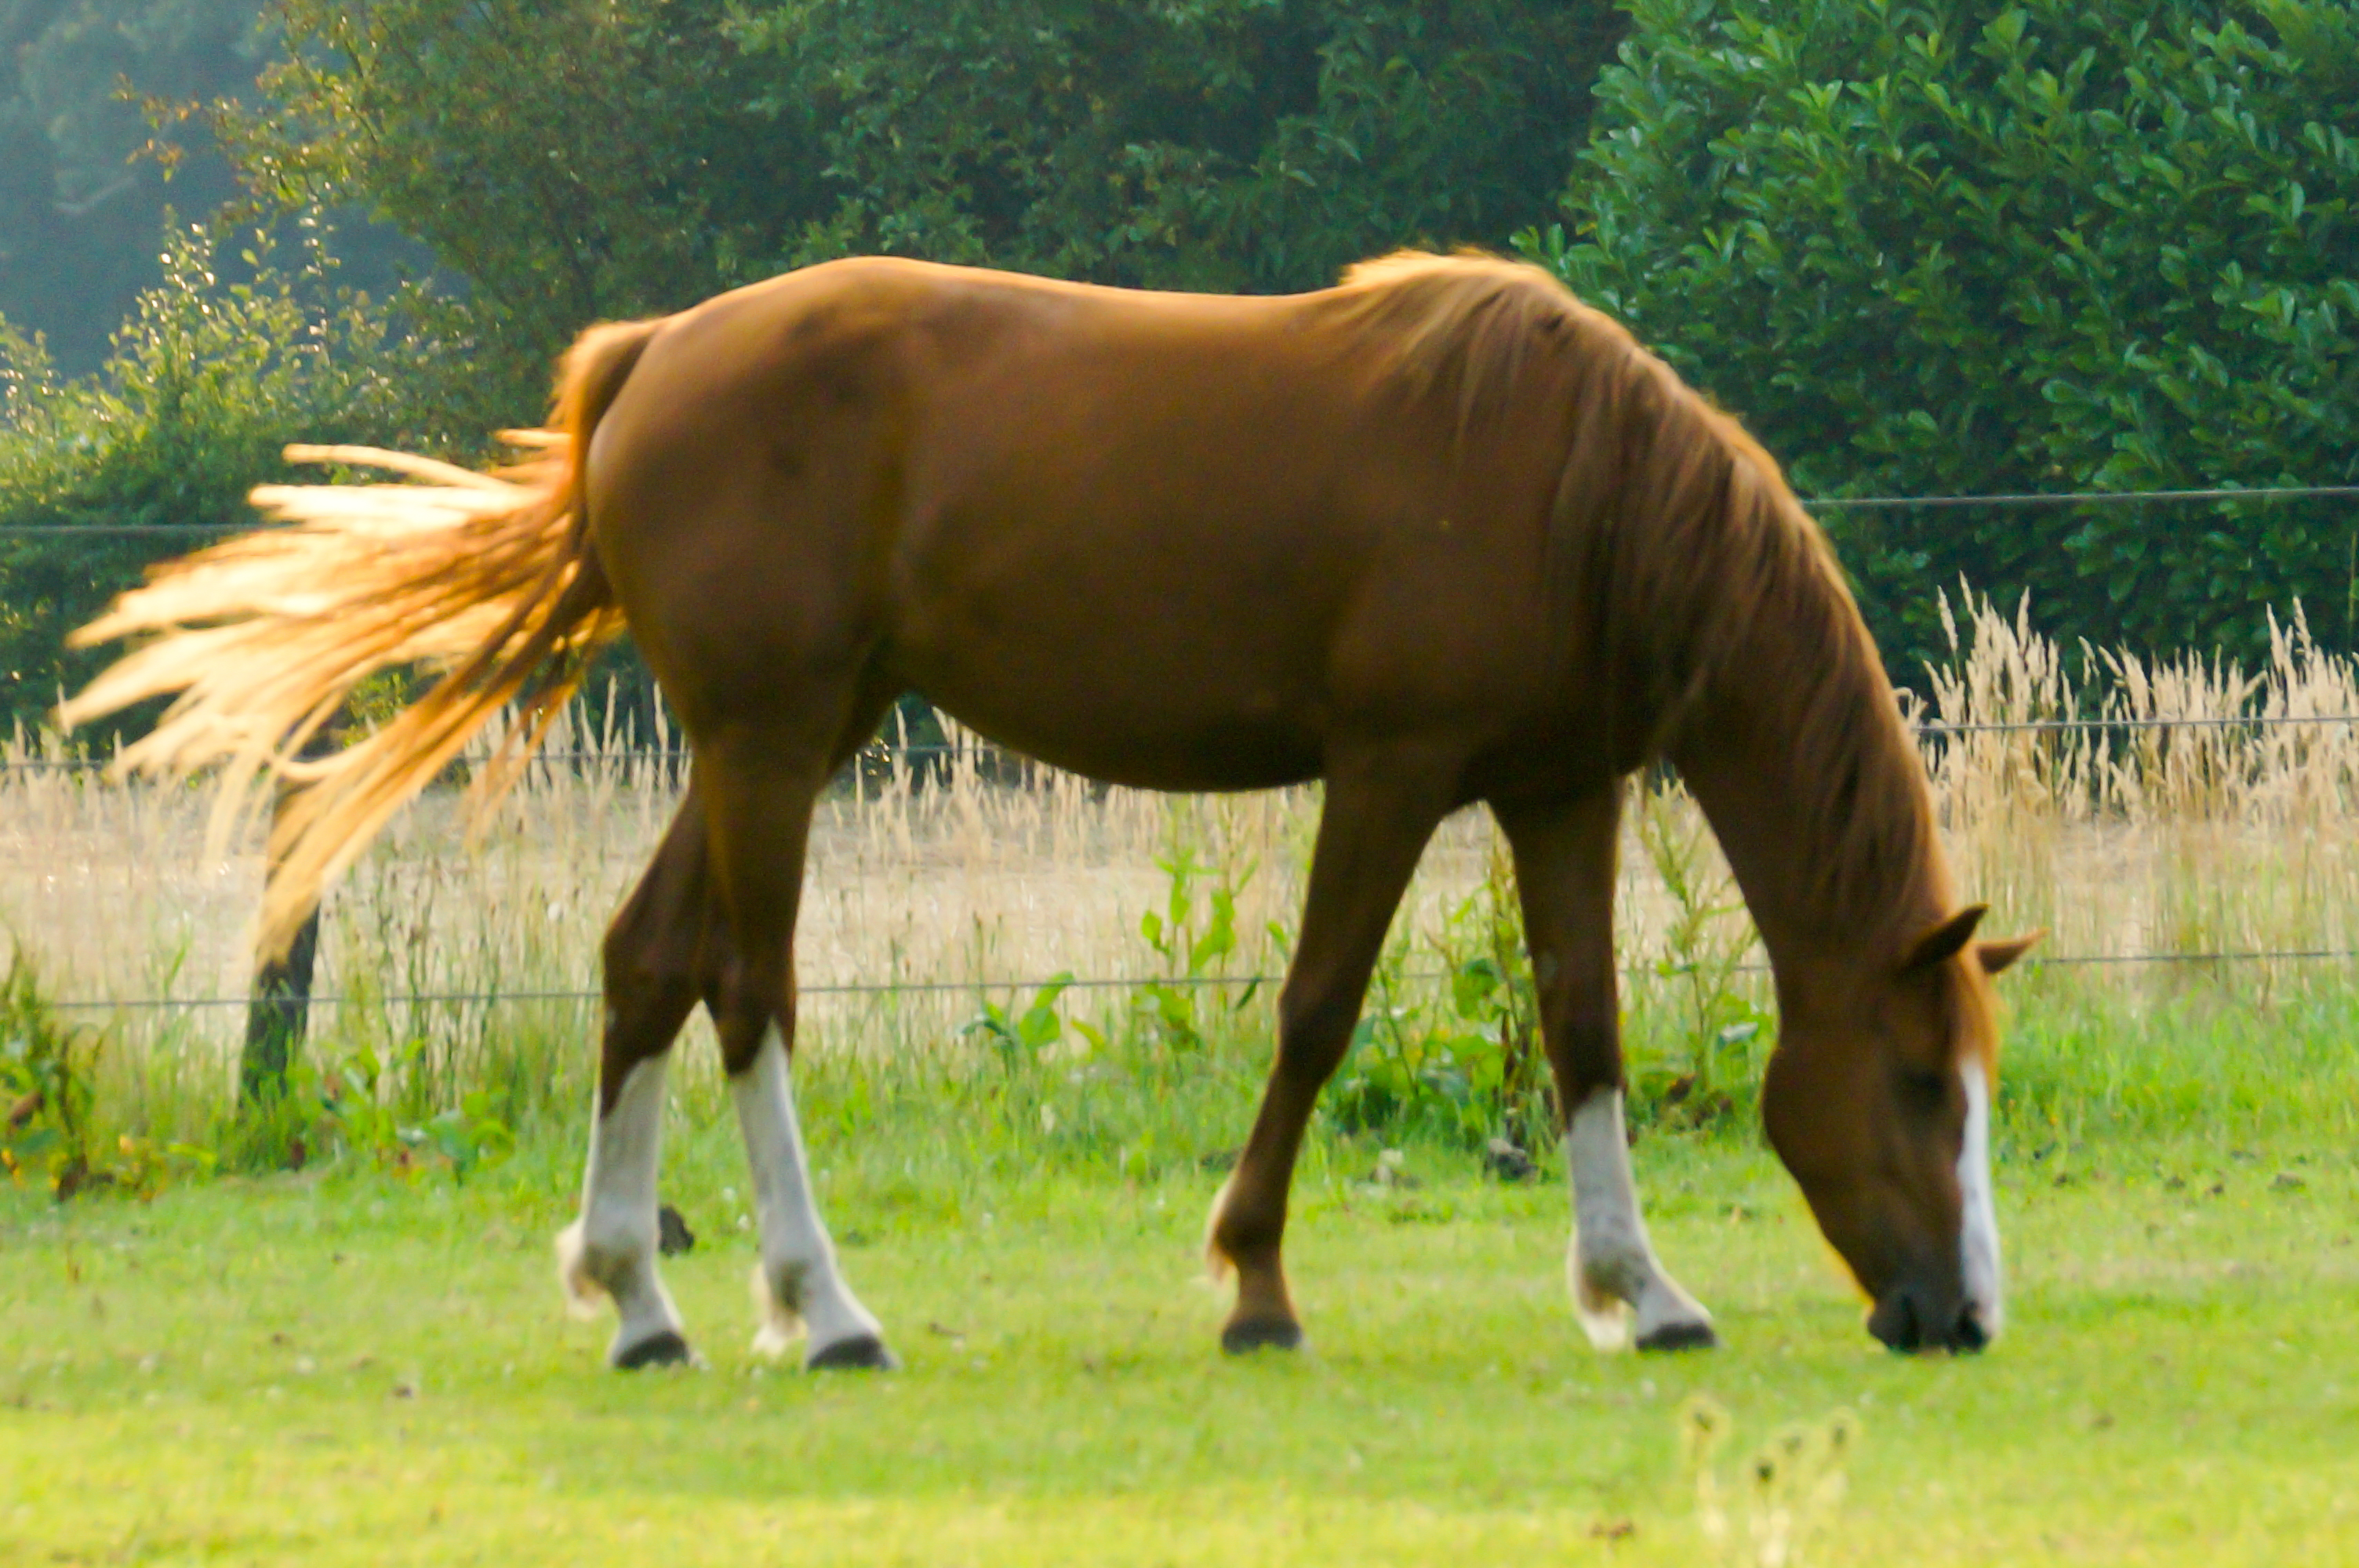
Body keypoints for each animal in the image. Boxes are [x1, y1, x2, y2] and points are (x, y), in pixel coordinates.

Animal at [64, 250, 2036, 1369]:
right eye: (1918, 1083)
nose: (1957, 1317)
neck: (1572, 481)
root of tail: (647, 357)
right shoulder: (1391, 770)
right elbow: (1317, 1011)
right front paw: (1254, 1282)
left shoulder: (1554, 788)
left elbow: (1583, 1028)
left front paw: (1640, 1288)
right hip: (771, 747)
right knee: (748, 993)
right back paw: (821, 1307)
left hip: (778, 740)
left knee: (643, 968)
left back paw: (639, 1299)